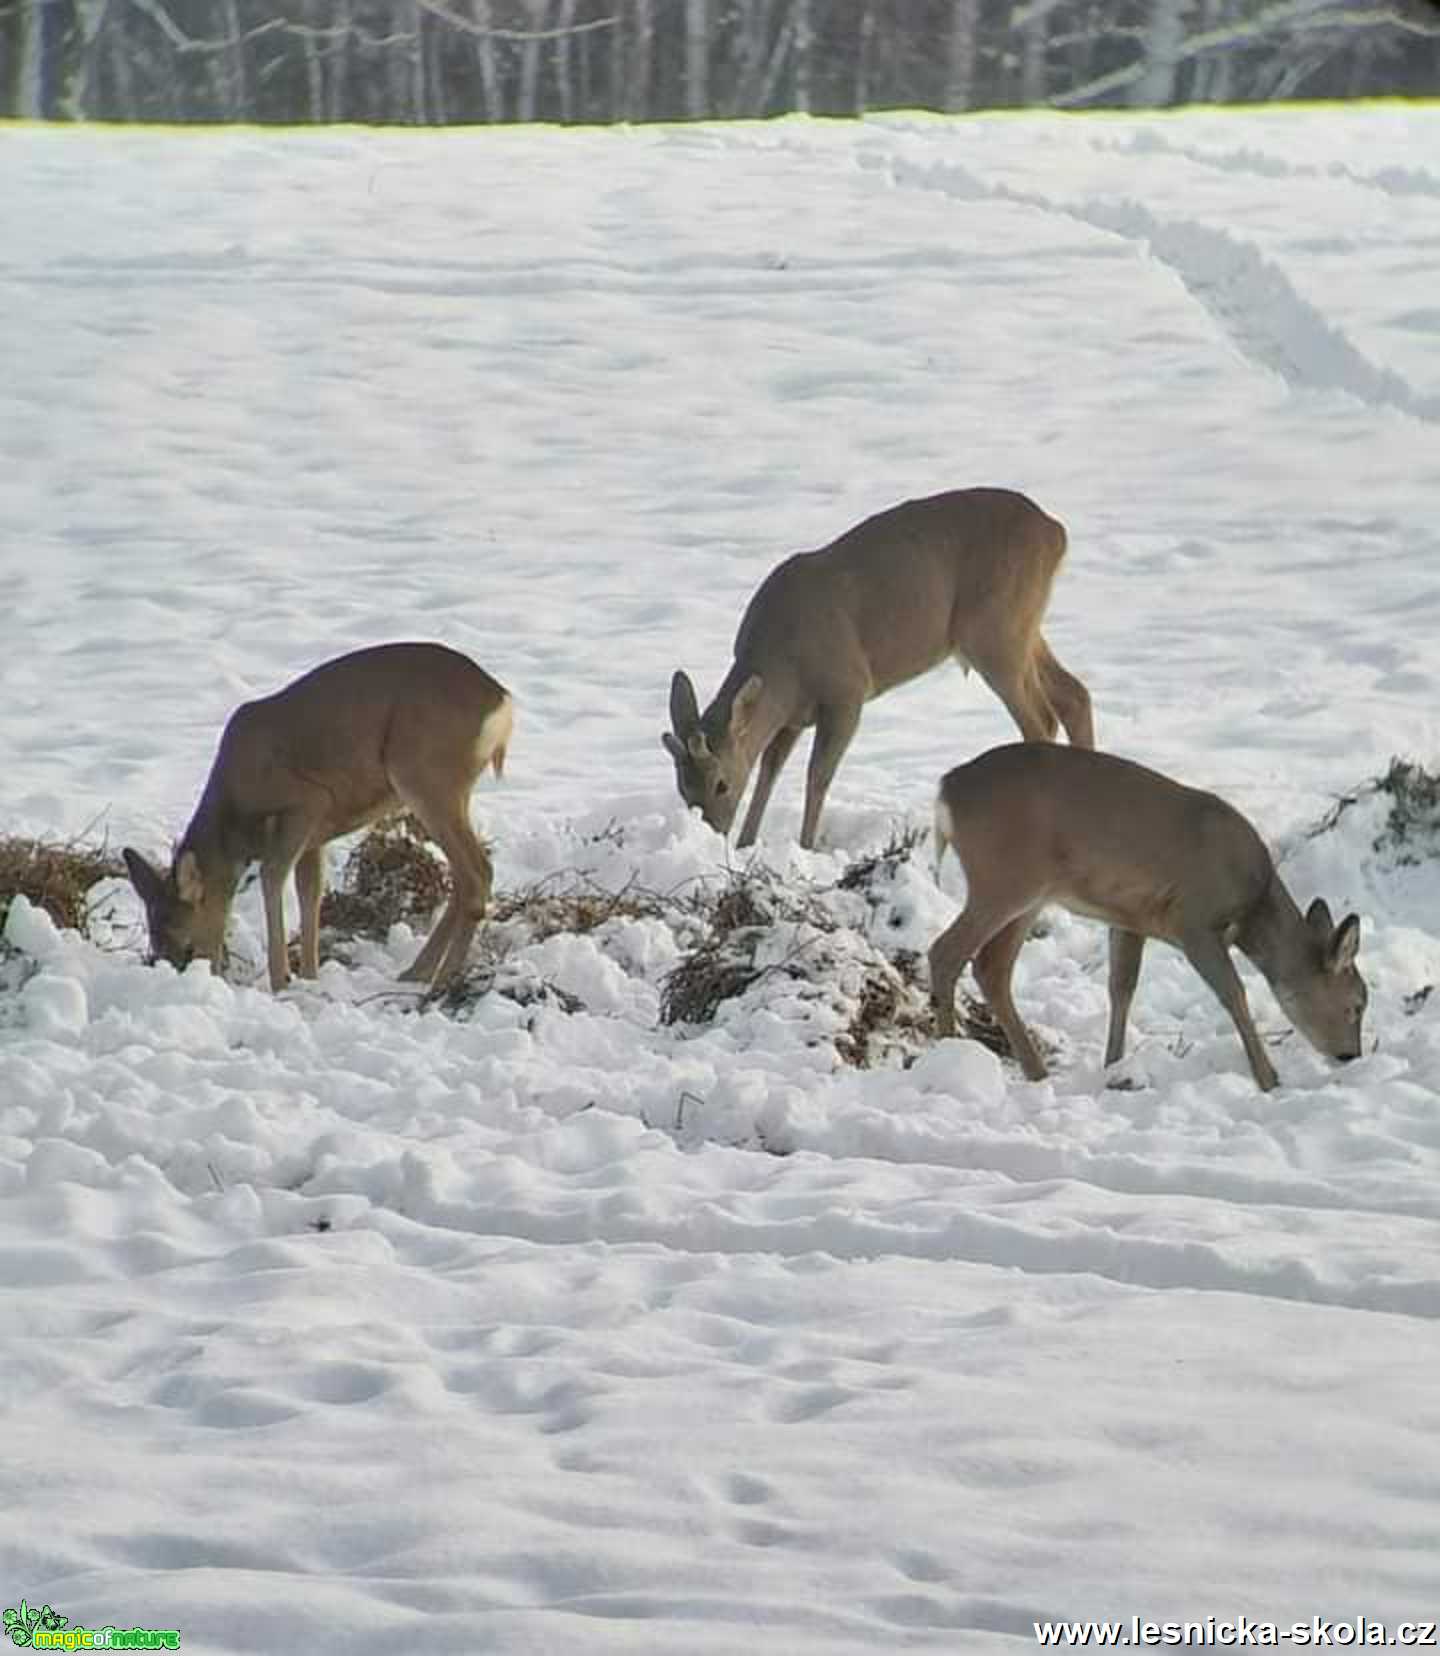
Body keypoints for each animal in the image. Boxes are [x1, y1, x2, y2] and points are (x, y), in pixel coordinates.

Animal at [122, 639, 513, 986]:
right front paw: (310, 977)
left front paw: (281, 980)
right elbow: (309, 892)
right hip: (449, 789)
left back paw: (440, 982)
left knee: (477, 873)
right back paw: (417, 973)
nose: (192, 976)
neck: (235, 817)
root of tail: (501, 700)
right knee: (466, 876)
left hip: (424, 776)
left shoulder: (307, 802)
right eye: (157, 948)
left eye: (188, 946)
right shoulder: (315, 838)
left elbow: (272, 877)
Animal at [665, 486, 1092, 854]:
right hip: (1021, 627)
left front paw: (806, 846)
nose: (711, 832)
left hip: (994, 630)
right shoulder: (794, 715)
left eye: (721, 784)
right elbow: (770, 767)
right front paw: (747, 844)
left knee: (1040, 719)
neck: (785, 664)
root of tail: (1055, 532)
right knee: (1073, 695)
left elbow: (817, 775)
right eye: (683, 787)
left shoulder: (847, 690)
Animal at [933, 745, 1370, 1092]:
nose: (1350, 1055)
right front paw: (1269, 1079)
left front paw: (1113, 1067)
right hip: (1004, 878)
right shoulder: (1194, 920)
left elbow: (1122, 987)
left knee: (991, 967)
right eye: (1357, 1003)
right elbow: (1234, 994)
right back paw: (946, 1052)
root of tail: (946, 789)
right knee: (945, 951)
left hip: (1030, 895)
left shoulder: (1130, 919)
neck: (1251, 905)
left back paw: (1035, 1072)